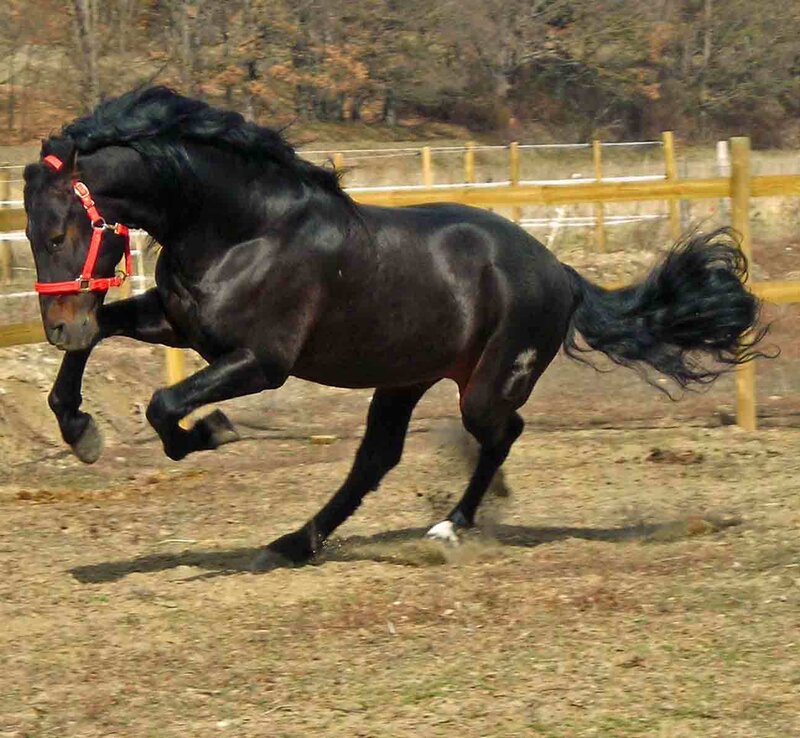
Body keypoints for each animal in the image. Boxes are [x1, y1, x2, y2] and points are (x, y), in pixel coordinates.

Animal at [23, 87, 766, 570]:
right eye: (27, 235)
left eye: (58, 232)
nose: (57, 325)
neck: (243, 227)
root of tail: (560, 271)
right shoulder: (179, 326)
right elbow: (100, 345)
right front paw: (81, 430)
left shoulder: (261, 361)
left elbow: (164, 403)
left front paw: (210, 433)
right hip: (404, 378)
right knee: (375, 460)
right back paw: (294, 544)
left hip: (483, 387)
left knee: (501, 434)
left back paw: (450, 526)